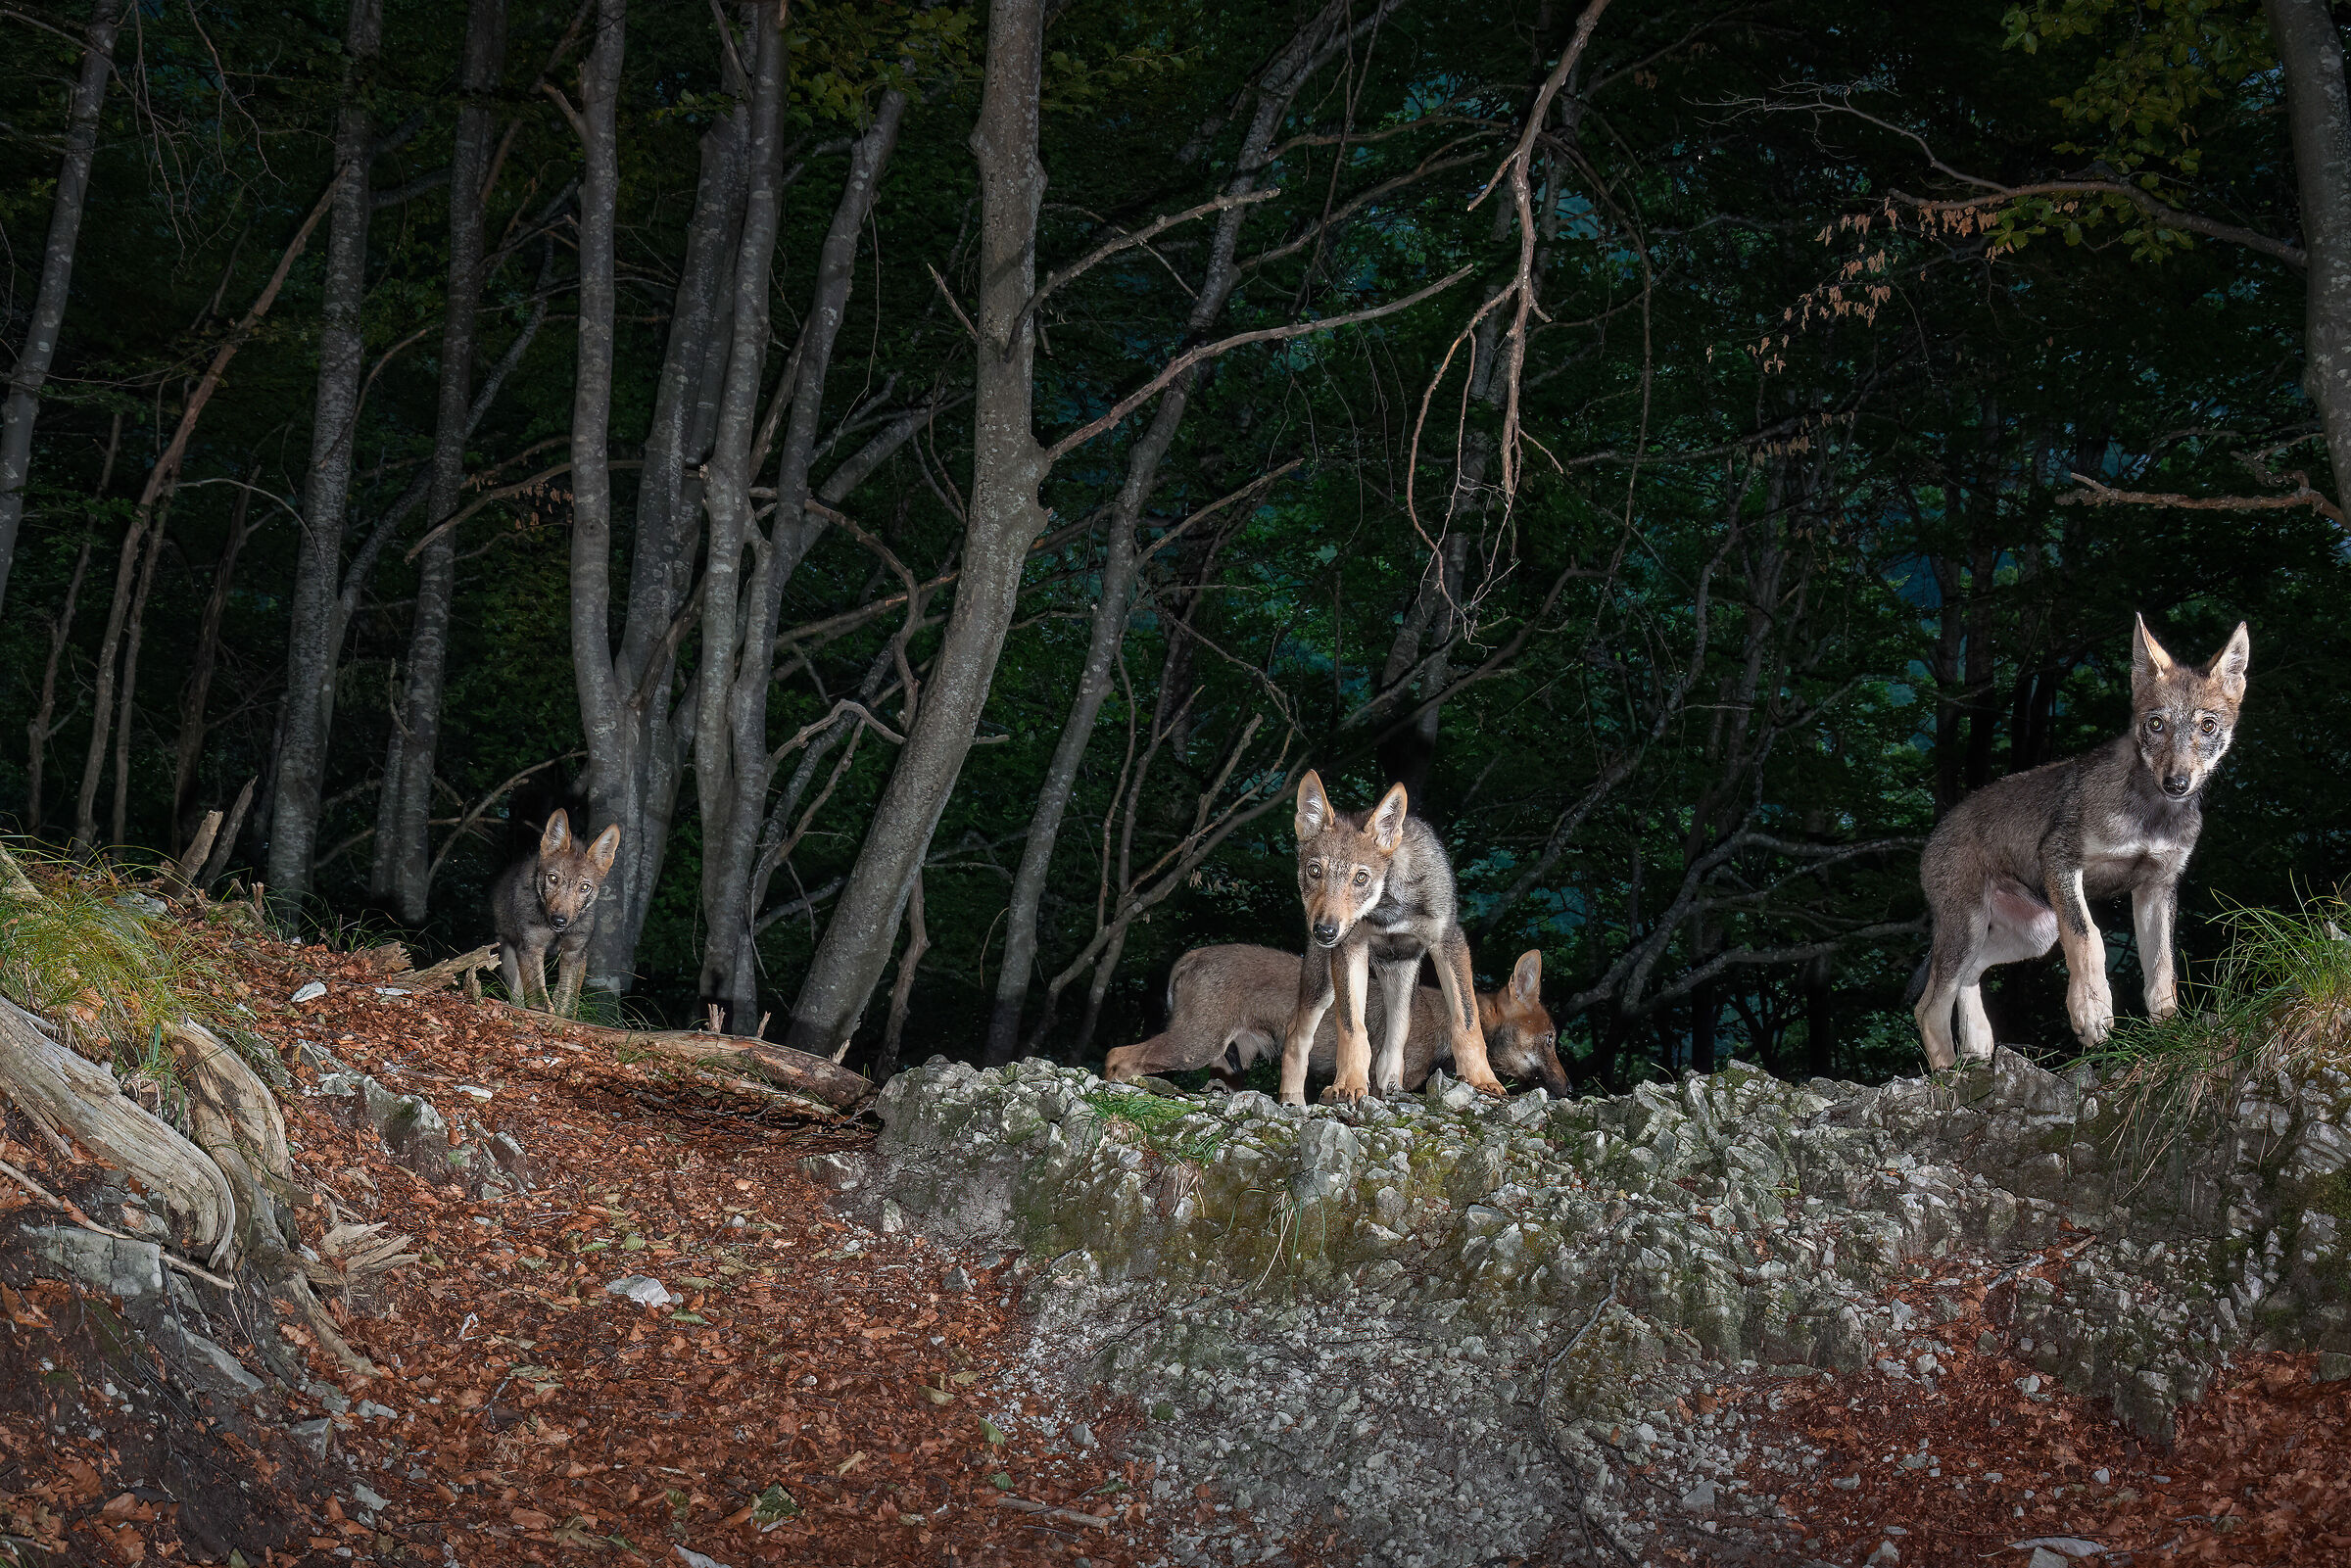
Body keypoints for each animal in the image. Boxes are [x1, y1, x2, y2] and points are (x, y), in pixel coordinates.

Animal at [490, 808, 621, 1014]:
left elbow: (568, 1002)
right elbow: (538, 998)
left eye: (584, 887)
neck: (555, 933)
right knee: (517, 997)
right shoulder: (530, 947)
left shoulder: (575, 952)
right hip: (509, 957)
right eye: (553, 878)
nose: (559, 920)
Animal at [1104, 943, 1567, 1094]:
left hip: (1227, 1063)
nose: (1569, 1087)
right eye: (1550, 1039)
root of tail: (1191, 956)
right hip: (1195, 1046)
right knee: (1116, 1057)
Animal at [1282, 771, 1506, 1105]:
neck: (1387, 909)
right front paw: (1348, 1084)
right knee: (1296, 1037)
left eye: (1361, 878)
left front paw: (1481, 1080)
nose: (1324, 931)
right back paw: (1292, 1099)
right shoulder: (1350, 948)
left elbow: (1467, 1021)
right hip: (1323, 984)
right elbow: (1352, 1029)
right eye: (1314, 871)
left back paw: (1391, 1088)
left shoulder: (1449, 941)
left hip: (1401, 980)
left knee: (1394, 1044)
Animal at [1913, 614, 2250, 1068]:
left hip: (2031, 935)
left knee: (1968, 977)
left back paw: (1978, 1049)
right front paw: (2091, 1012)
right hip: (1971, 929)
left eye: (2208, 725)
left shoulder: (2157, 887)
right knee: (1928, 1007)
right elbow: (2089, 937)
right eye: (2156, 724)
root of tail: (1935, 833)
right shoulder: (2061, 858)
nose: (2176, 783)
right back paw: (1949, 1076)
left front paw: (2170, 1035)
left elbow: (2162, 970)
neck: (2152, 818)